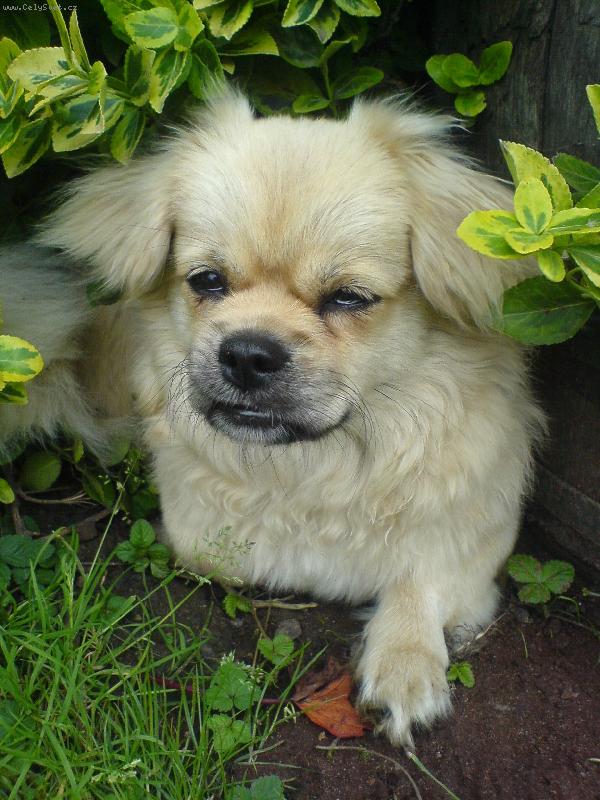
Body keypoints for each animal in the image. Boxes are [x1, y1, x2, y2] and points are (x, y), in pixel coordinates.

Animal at [0, 91, 544, 745]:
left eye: (348, 298)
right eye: (207, 281)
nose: (247, 352)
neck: (315, 467)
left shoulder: (473, 540)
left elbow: (420, 580)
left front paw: (405, 667)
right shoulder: (202, 541)